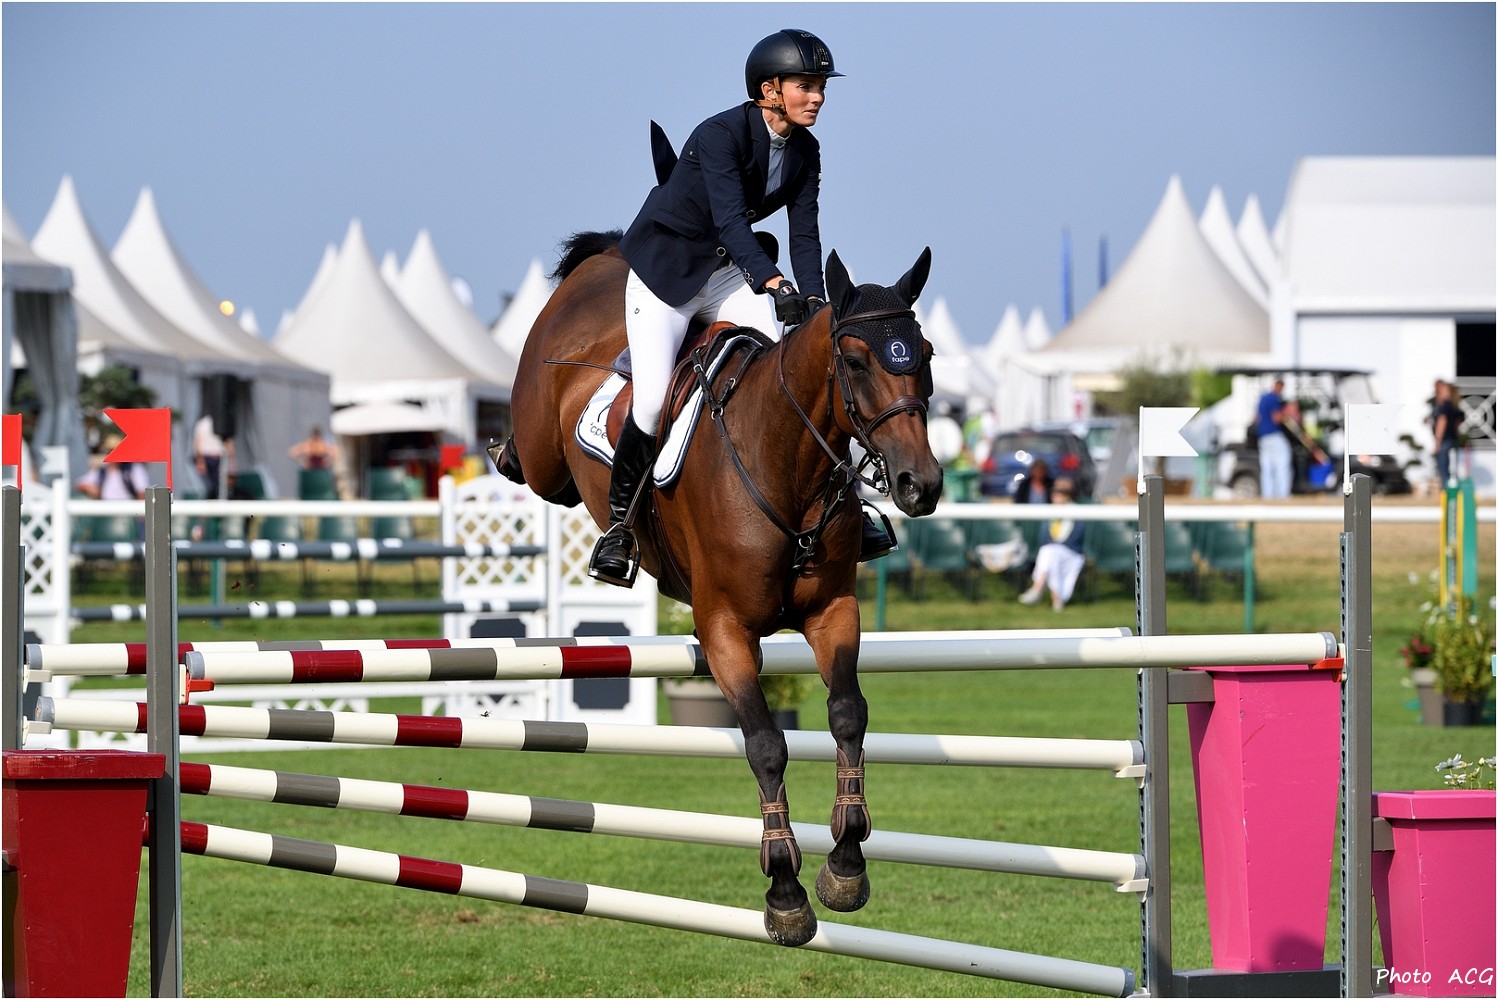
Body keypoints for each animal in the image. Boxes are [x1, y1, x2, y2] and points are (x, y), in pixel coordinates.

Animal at [493, 234, 943, 946]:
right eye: (854, 360)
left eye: (923, 355)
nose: (918, 485)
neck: (784, 464)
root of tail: (607, 257)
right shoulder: (725, 630)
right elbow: (766, 744)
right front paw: (785, 890)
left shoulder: (833, 613)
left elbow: (848, 714)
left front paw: (846, 864)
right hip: (542, 441)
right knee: (539, 466)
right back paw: (518, 463)